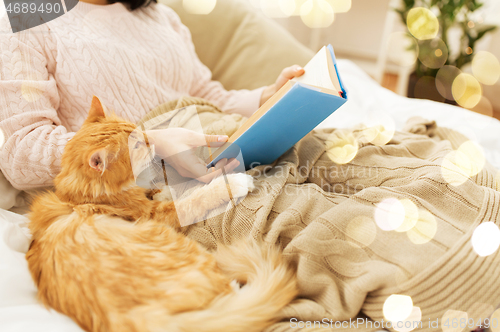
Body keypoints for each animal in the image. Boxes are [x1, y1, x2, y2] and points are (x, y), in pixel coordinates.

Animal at [25, 96, 296, 332]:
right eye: (135, 145)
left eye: (136, 131)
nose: (150, 138)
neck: (81, 197)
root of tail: (141, 320)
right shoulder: (154, 215)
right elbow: (191, 200)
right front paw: (229, 184)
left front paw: (159, 190)